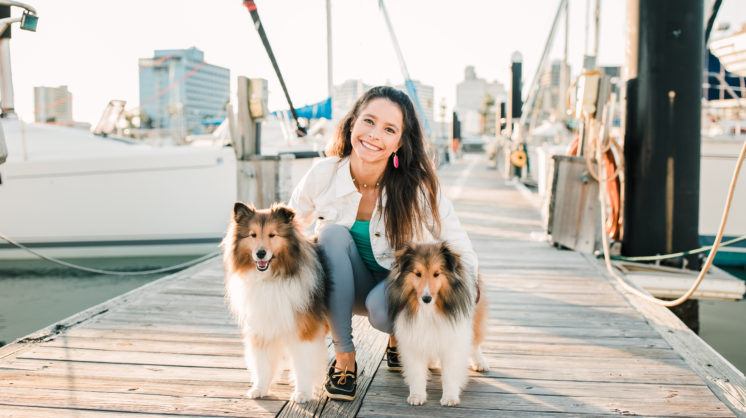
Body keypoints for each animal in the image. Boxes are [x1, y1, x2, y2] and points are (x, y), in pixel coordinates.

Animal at [222, 202, 329, 403]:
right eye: (253, 235)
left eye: (273, 235)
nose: (260, 253)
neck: (272, 278)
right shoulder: (262, 326)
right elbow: (262, 361)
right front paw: (260, 388)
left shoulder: (304, 330)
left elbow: (303, 363)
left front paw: (303, 392)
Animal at [387, 242, 489, 407]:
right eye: (418, 274)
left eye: (437, 274)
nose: (426, 298)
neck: (430, 310)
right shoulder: (413, 339)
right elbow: (416, 371)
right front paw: (417, 396)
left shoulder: (453, 339)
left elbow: (450, 373)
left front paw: (450, 397)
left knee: (475, 343)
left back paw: (480, 362)